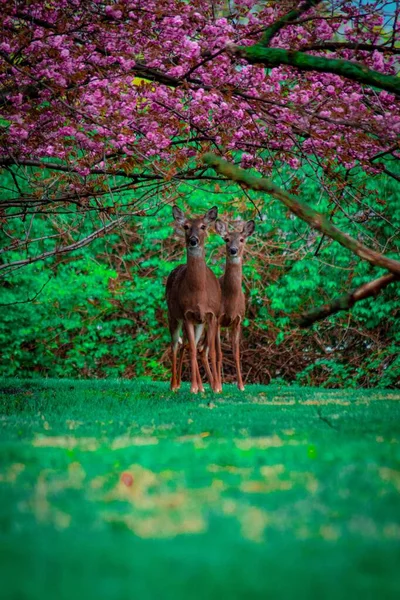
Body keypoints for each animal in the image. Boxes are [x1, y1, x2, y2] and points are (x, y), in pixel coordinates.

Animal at [165, 206, 222, 394]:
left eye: (203, 226)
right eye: (186, 226)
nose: (193, 240)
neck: (199, 293)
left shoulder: (212, 315)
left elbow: (211, 351)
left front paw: (216, 387)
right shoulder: (186, 315)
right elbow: (191, 349)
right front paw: (194, 387)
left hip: (199, 323)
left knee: (191, 346)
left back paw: (201, 387)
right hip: (173, 316)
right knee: (176, 345)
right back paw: (174, 385)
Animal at [212, 218, 256, 392]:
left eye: (242, 239)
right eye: (226, 239)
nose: (233, 250)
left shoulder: (237, 321)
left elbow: (236, 354)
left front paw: (241, 386)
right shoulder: (217, 319)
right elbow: (218, 354)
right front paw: (218, 386)